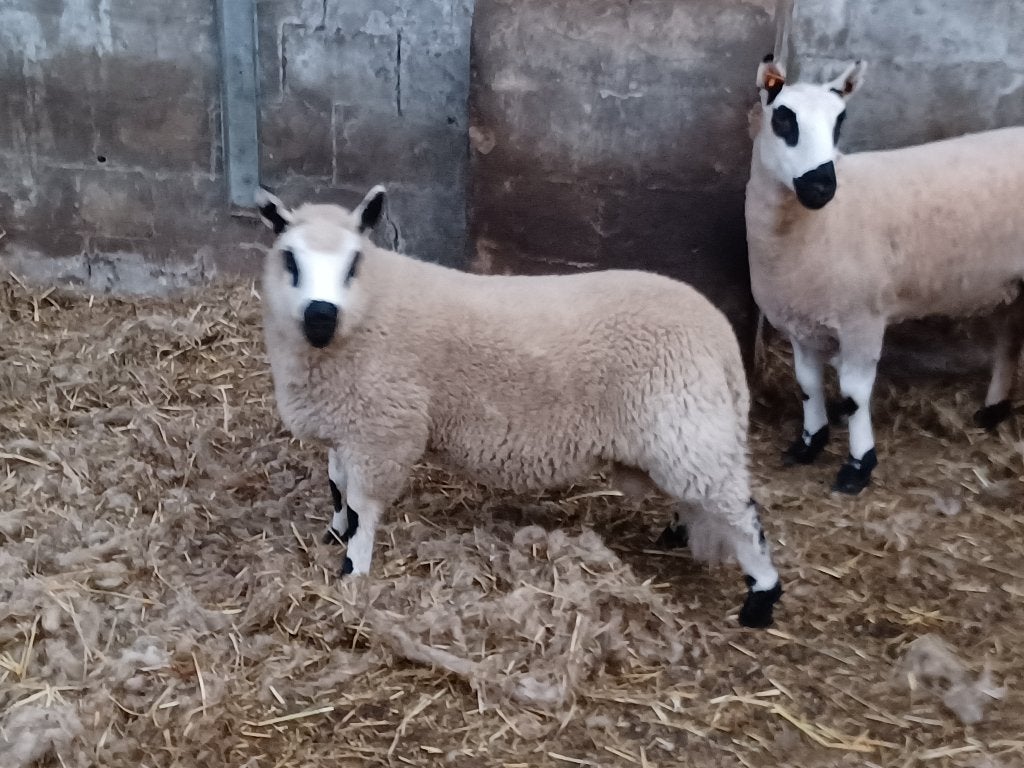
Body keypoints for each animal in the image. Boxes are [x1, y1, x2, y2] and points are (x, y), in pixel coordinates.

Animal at [252, 185, 784, 628]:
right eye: (291, 261)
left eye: (353, 265)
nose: (321, 316)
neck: (369, 311)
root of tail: (717, 330)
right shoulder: (349, 425)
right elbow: (336, 486)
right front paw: (334, 534)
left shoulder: (383, 431)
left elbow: (363, 507)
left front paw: (353, 571)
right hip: (681, 431)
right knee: (701, 496)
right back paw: (678, 533)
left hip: (686, 423)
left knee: (739, 511)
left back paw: (760, 598)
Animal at [746, 54, 1024, 495]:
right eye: (783, 119)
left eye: (840, 121)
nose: (821, 186)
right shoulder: (799, 317)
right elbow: (807, 384)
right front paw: (808, 444)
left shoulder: (862, 318)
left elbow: (854, 396)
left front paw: (858, 467)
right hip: (1010, 282)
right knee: (1010, 338)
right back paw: (992, 409)